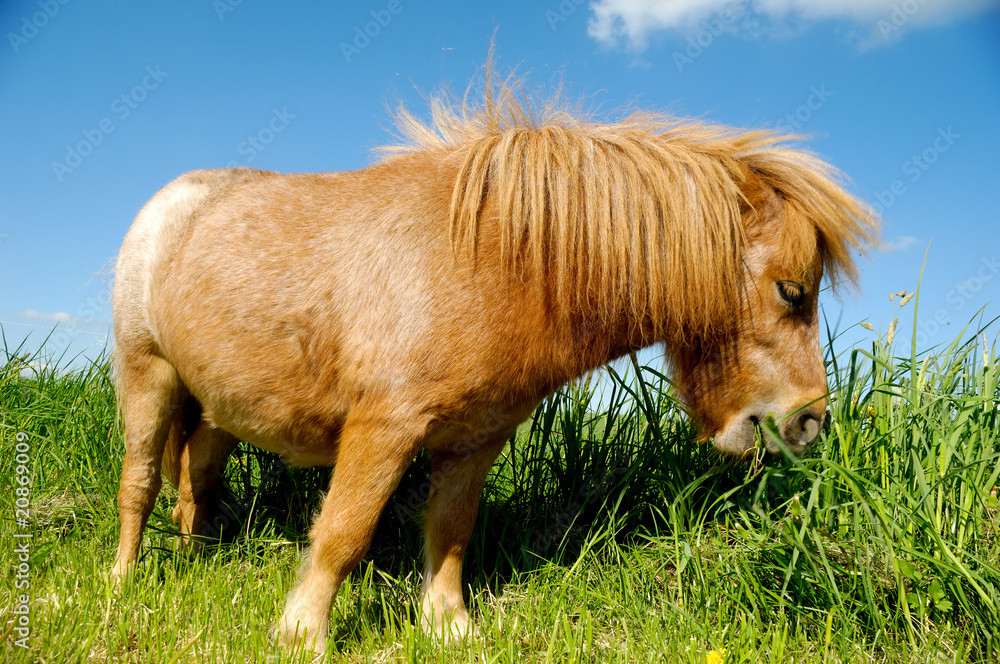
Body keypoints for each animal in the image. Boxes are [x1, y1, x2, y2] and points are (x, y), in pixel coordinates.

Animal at [109, 67, 877, 654]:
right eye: (791, 289)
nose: (809, 423)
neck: (494, 261)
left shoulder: (474, 440)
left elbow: (450, 534)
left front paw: (448, 628)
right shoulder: (384, 430)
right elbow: (343, 532)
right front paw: (303, 635)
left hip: (217, 408)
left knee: (194, 487)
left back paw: (195, 565)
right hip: (148, 377)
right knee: (140, 485)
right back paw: (123, 582)